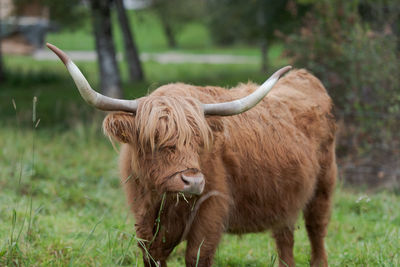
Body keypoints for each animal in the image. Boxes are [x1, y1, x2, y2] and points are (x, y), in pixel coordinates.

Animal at [47, 43, 338, 266]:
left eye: (199, 142)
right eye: (155, 140)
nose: (193, 182)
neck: (164, 200)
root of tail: (304, 76)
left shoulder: (211, 212)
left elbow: (196, 256)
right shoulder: (143, 219)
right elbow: (152, 256)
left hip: (323, 187)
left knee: (317, 233)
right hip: (286, 200)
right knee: (285, 239)